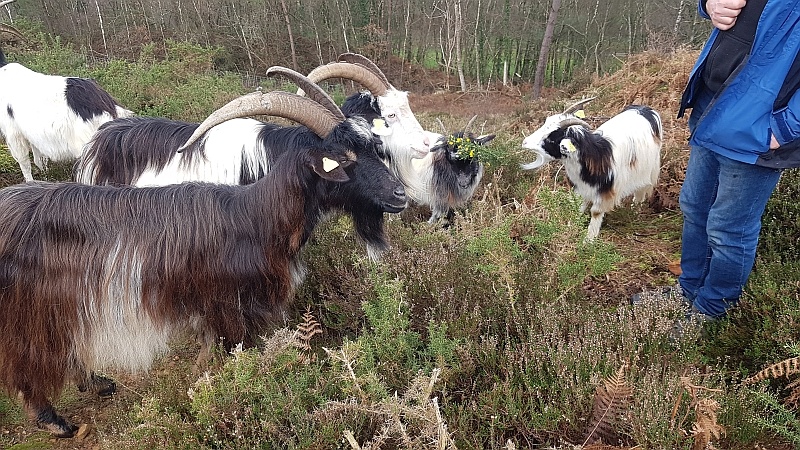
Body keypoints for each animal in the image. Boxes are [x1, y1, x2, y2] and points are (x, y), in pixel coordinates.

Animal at [0, 78, 407, 438]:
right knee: (26, 359)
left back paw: (96, 383)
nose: (400, 195)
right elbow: (229, 353)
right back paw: (55, 420)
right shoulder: (228, 306)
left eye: (374, 147)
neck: (256, 217)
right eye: (344, 159)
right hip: (28, 309)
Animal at [521, 98, 662, 241]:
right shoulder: (579, 186)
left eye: (551, 139)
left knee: (640, 192)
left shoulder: (606, 190)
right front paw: (571, 226)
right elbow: (577, 205)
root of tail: (646, 109)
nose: (525, 142)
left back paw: (634, 213)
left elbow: (595, 212)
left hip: (648, 170)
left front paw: (589, 240)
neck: (596, 156)